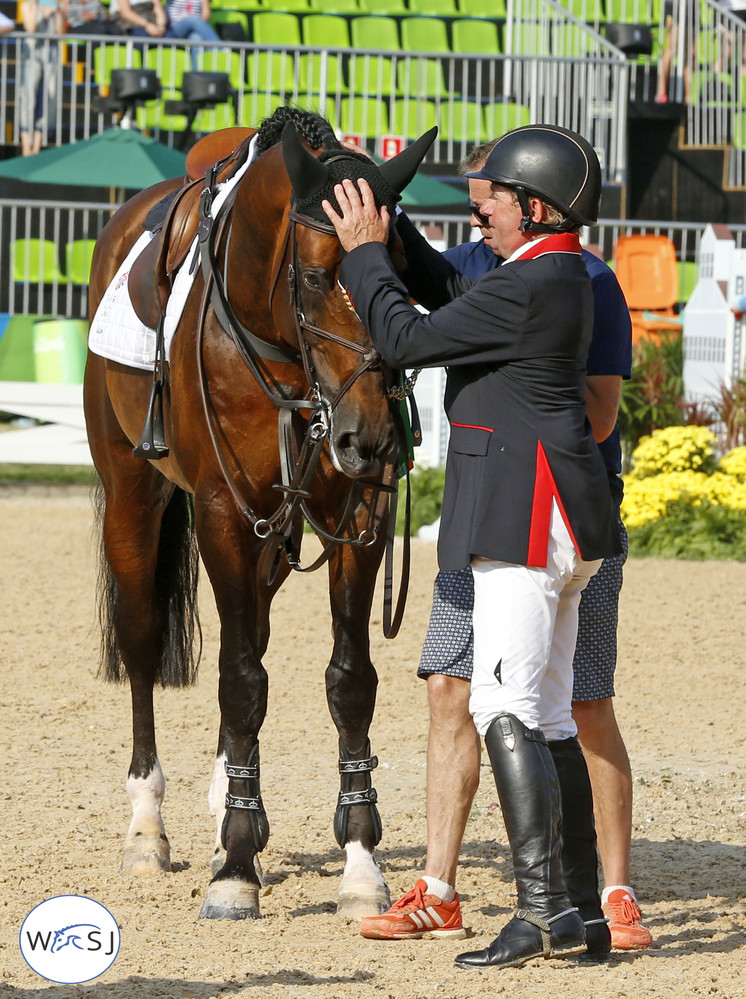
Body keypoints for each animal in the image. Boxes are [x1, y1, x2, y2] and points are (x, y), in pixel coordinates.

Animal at [84, 109, 436, 920]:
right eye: (314, 276)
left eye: (403, 272)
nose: (371, 438)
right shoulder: (222, 512)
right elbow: (242, 680)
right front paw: (236, 871)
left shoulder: (357, 517)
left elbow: (347, 680)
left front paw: (360, 864)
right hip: (134, 497)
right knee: (146, 645)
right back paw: (148, 832)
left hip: (274, 539)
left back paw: (224, 814)